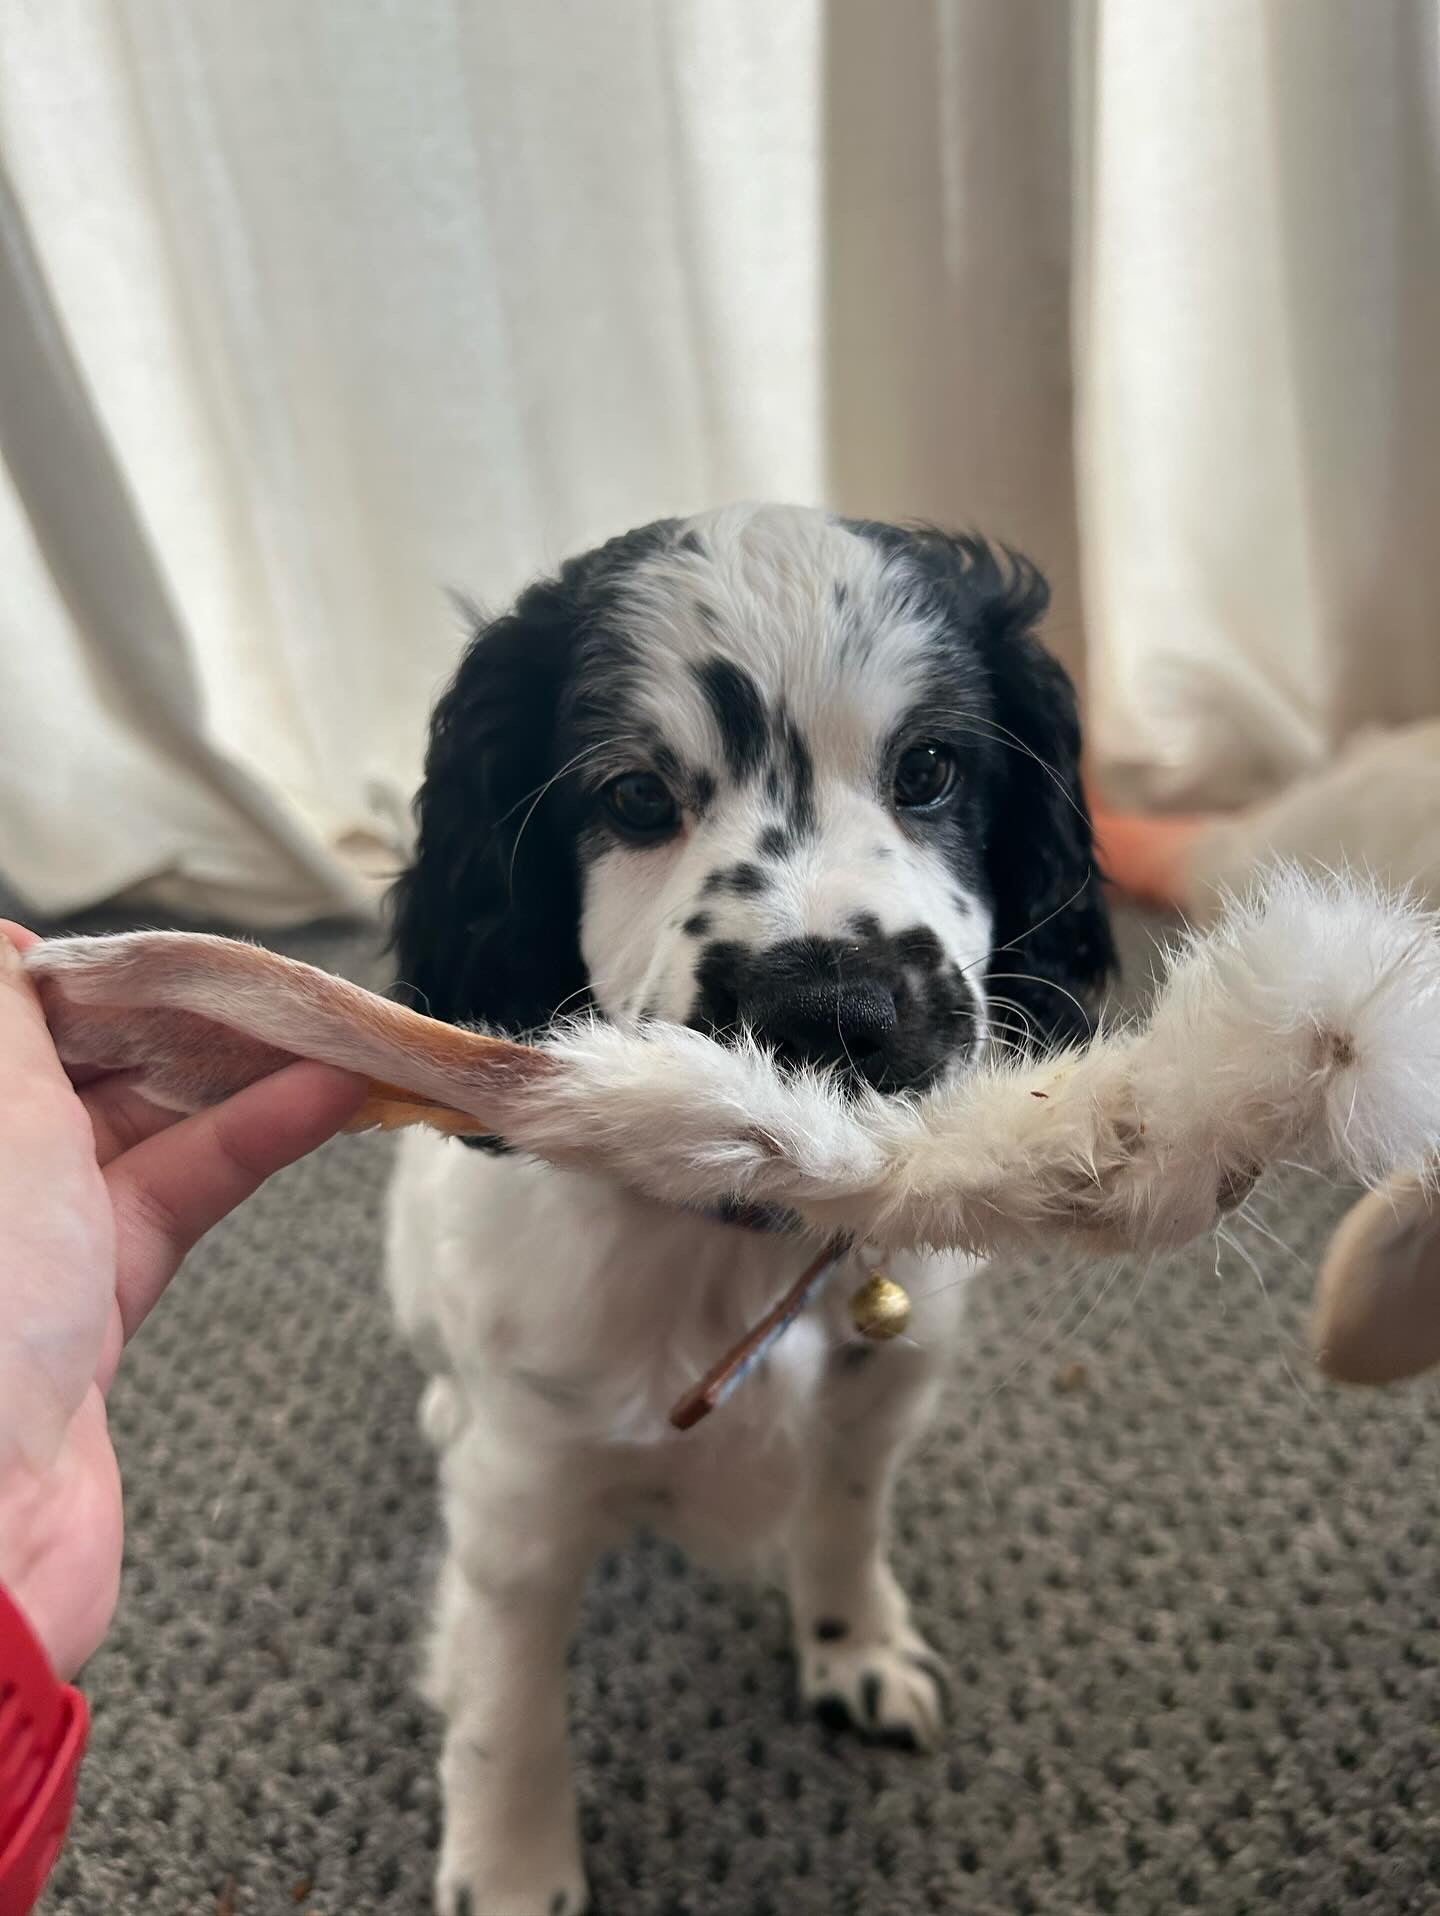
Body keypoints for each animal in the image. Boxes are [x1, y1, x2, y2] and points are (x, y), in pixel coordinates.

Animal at [384, 505, 1110, 1916]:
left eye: (931, 767)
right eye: (632, 797)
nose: (833, 1006)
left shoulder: (882, 1390)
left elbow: (843, 1516)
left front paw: (854, 1644)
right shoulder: (524, 1497)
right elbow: (507, 1699)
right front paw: (511, 1864)